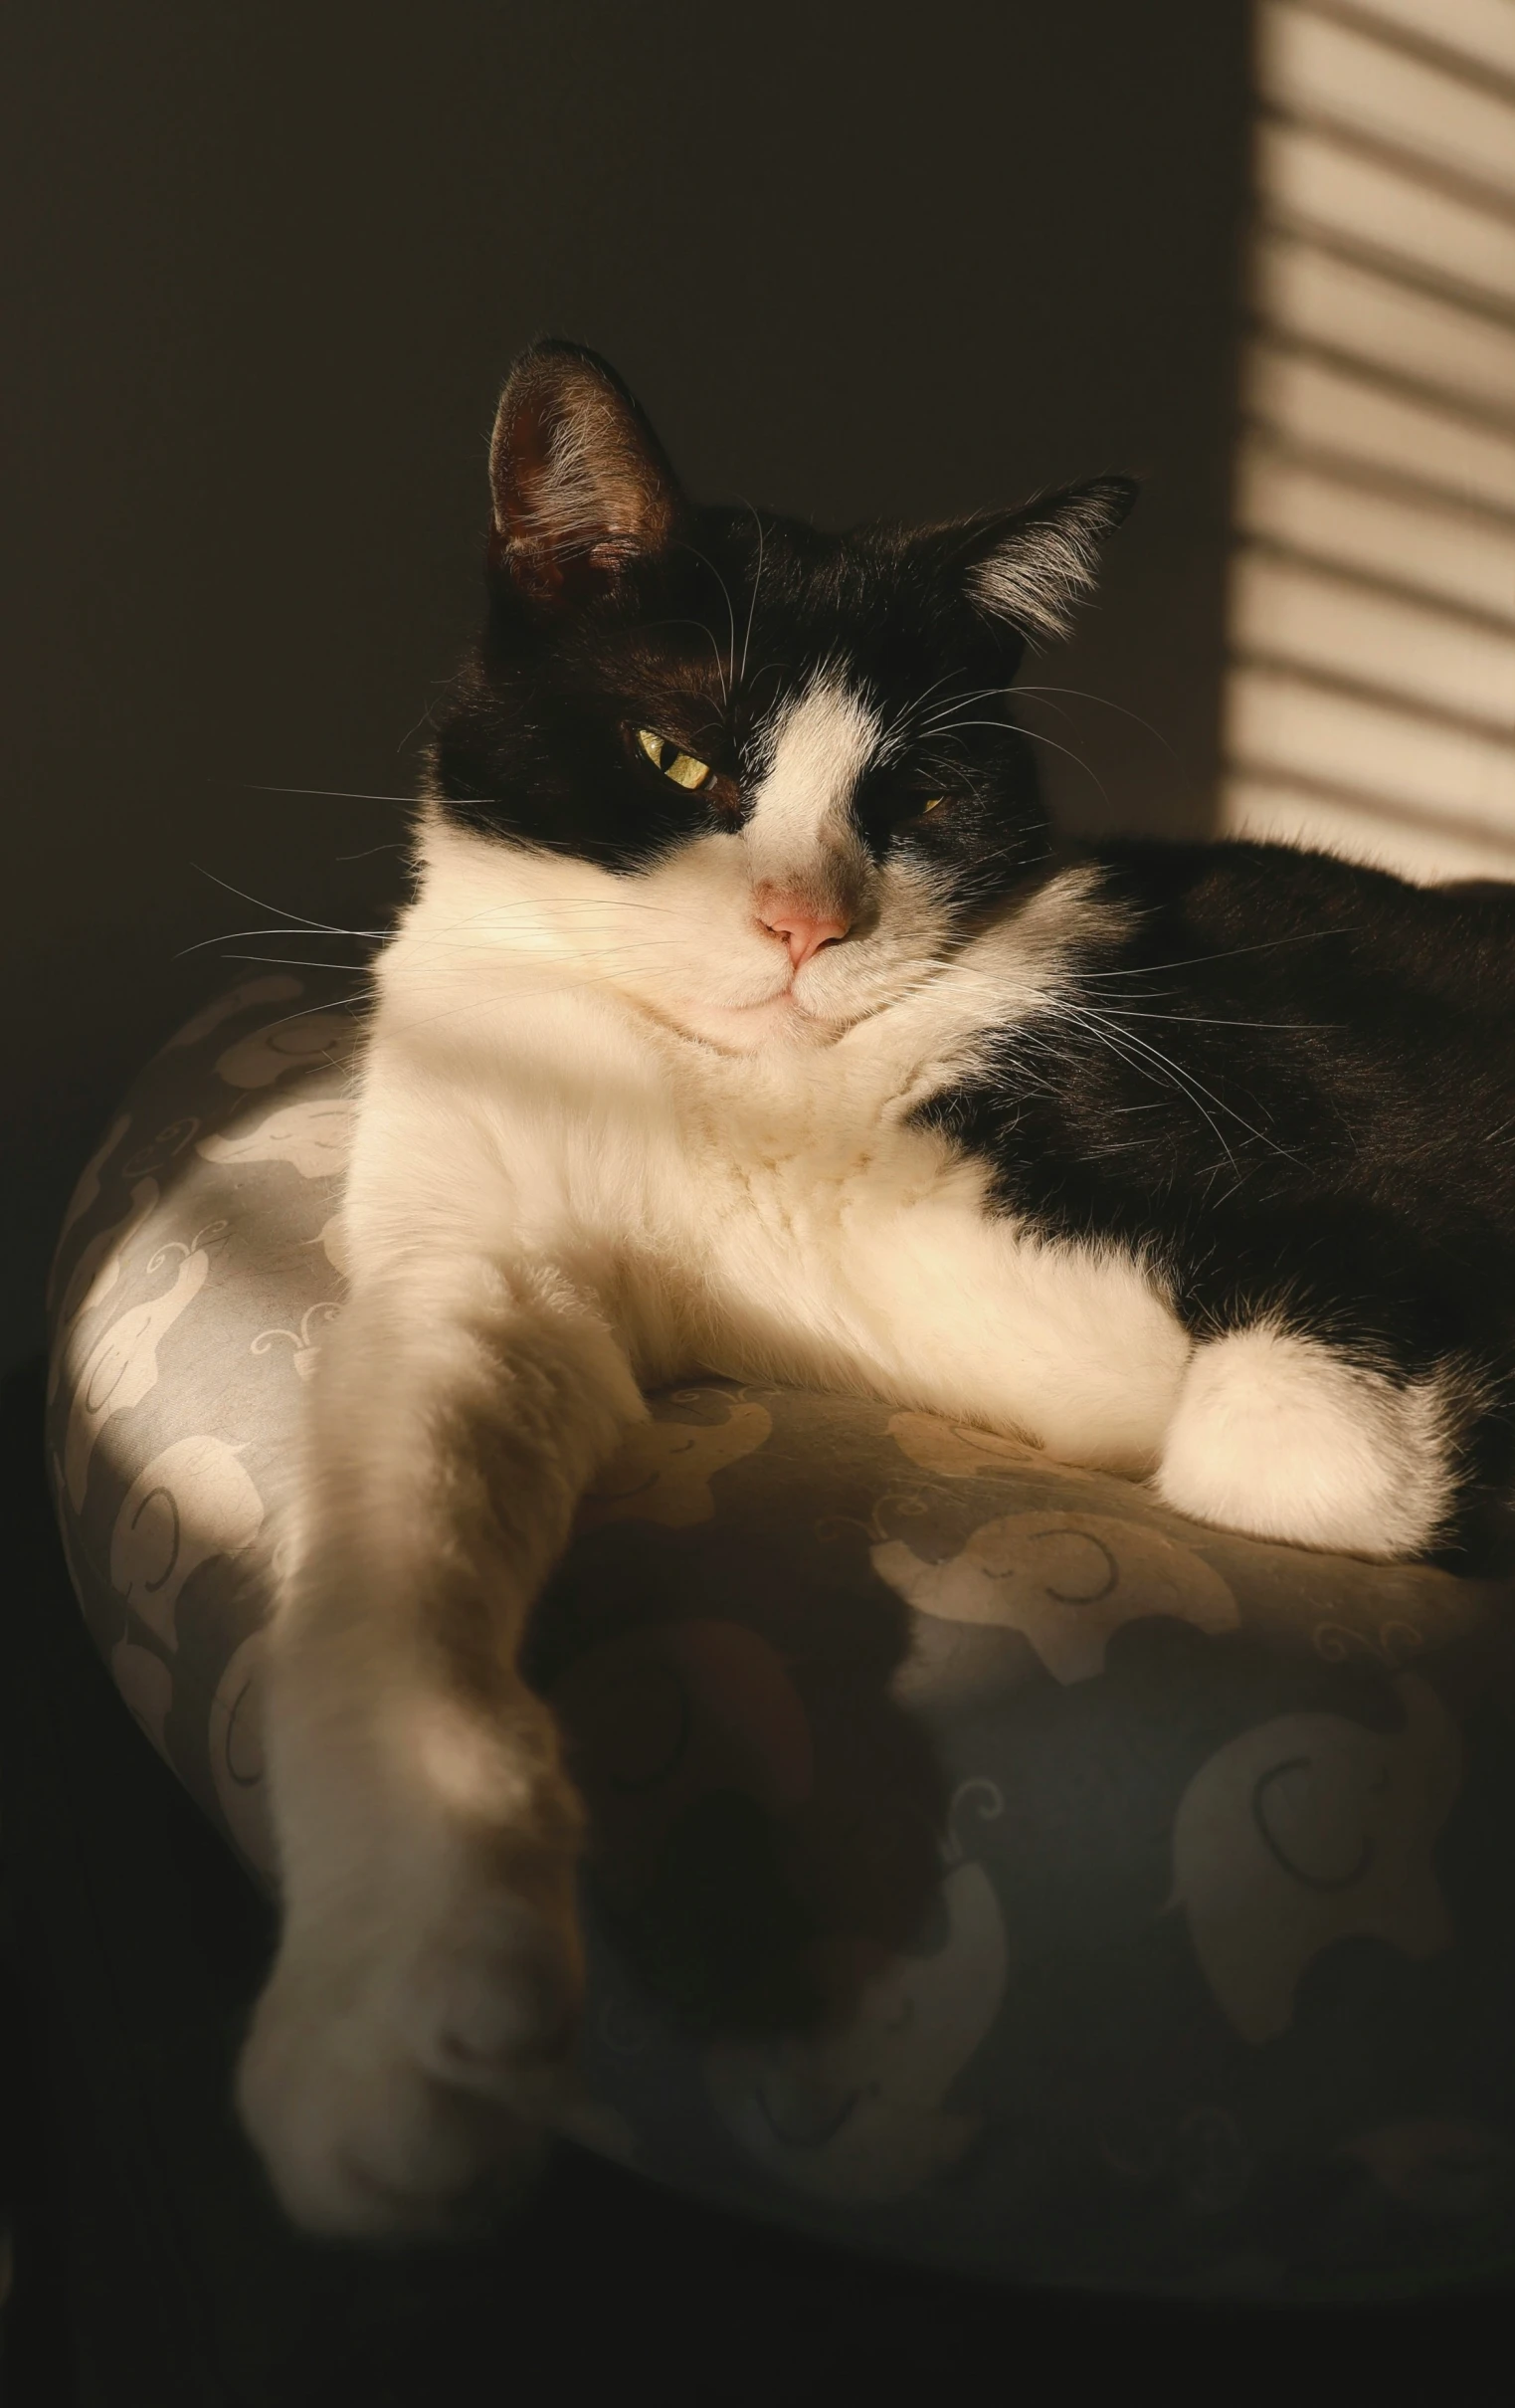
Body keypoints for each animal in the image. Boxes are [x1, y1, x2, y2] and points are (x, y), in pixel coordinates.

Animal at [233, 339, 1512, 2234]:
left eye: (913, 800)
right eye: (677, 753)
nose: (799, 925)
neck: (743, 1092)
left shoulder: (1366, 1216)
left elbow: (1281, 1455)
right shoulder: (478, 1252)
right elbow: (398, 1533)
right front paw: (392, 2017)